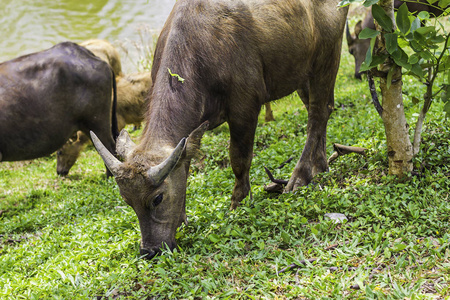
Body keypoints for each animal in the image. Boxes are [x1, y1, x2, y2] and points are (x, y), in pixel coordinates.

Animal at [92, 0, 348, 258]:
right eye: (127, 201)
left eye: (157, 198)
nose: (149, 251)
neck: (200, 49)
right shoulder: (188, 136)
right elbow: (185, 165)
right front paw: (182, 217)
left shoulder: (245, 108)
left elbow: (239, 159)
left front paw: (238, 203)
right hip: (302, 73)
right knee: (322, 111)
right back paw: (321, 164)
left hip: (327, 57)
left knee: (317, 113)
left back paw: (300, 176)